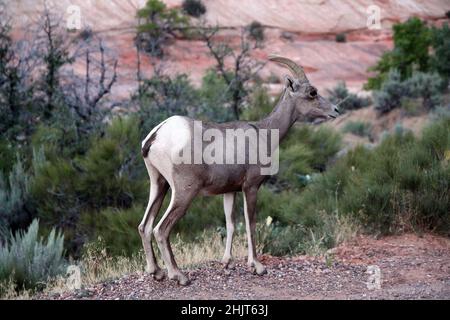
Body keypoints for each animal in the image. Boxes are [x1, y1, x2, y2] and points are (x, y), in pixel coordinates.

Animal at [139, 55, 340, 284]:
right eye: (312, 92)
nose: (335, 110)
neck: (263, 133)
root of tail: (156, 135)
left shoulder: (229, 192)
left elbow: (231, 223)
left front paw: (227, 263)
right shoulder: (250, 187)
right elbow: (250, 223)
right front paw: (258, 267)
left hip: (159, 185)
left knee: (145, 226)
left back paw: (157, 272)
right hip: (183, 192)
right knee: (161, 229)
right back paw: (179, 276)